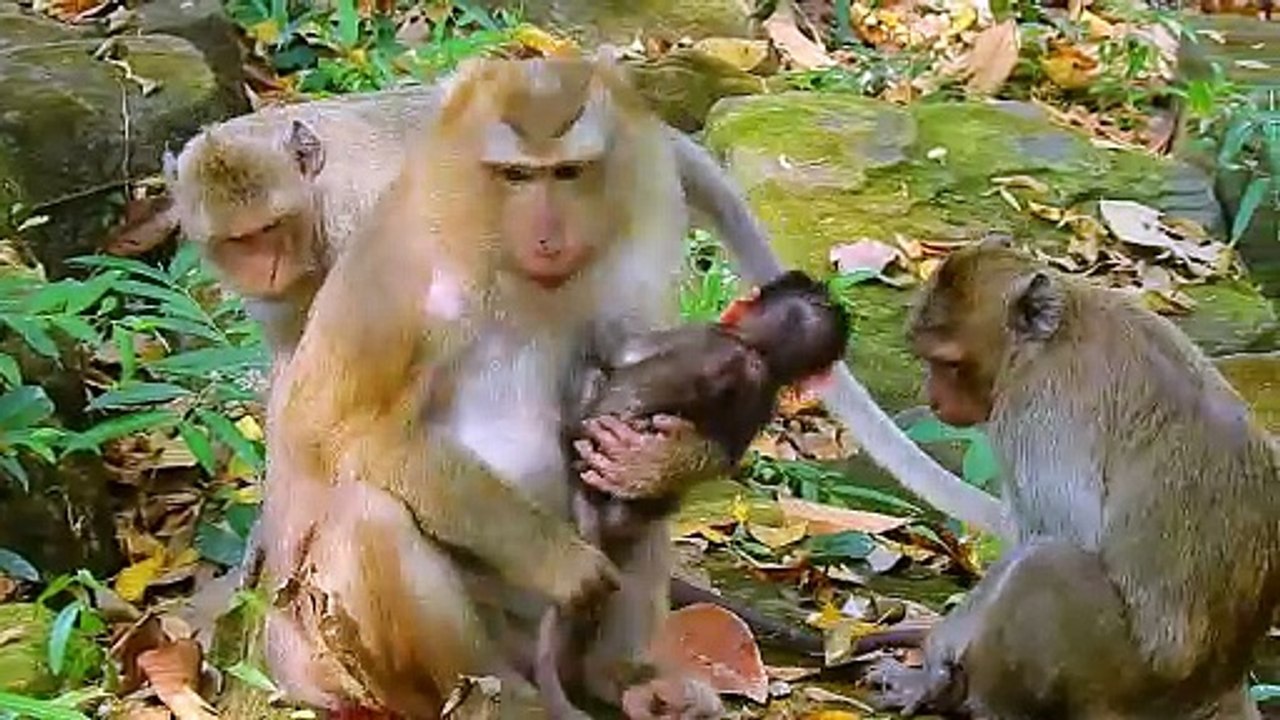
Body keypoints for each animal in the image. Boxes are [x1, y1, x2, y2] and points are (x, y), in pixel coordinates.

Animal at [165, 75, 1008, 542]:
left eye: (270, 227)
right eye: (238, 241)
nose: (267, 266)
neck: (315, 205)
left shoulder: (364, 228)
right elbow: (308, 379)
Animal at [864, 237, 1280, 720]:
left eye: (946, 364)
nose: (932, 399)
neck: (1050, 338)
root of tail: (1219, 686)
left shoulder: (1036, 410)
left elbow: (1060, 531)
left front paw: (934, 665)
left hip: (1117, 675)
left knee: (1042, 564)